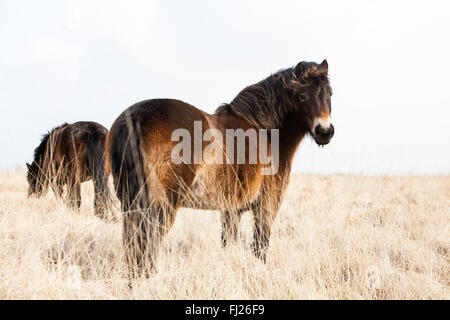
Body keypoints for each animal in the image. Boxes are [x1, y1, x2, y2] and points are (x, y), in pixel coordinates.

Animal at [105, 60, 334, 278]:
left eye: (329, 94)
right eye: (302, 96)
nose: (325, 131)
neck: (265, 131)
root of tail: (136, 117)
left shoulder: (231, 210)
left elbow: (228, 242)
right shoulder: (267, 204)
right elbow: (260, 246)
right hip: (161, 206)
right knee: (147, 246)